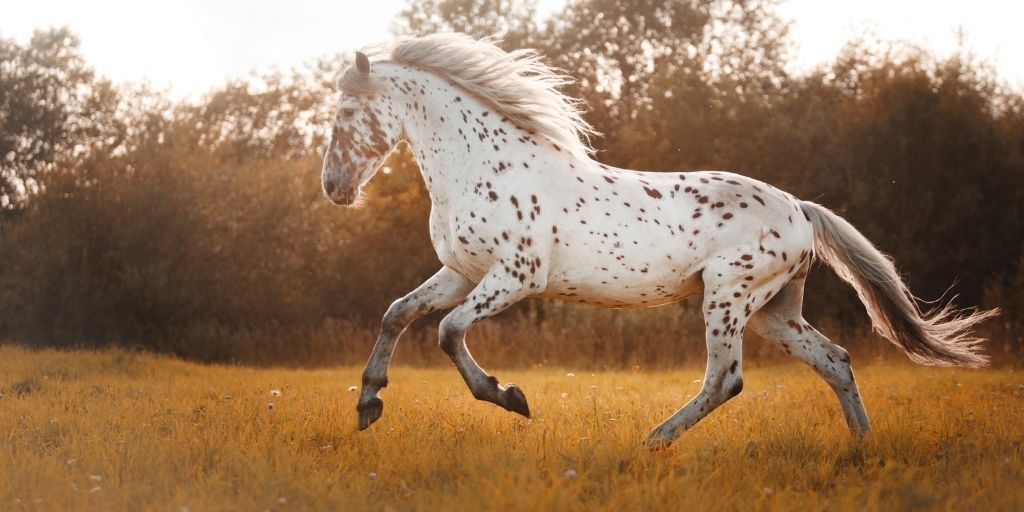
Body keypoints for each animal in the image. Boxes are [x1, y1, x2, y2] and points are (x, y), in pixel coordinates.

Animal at [320, 33, 997, 448]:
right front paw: (368, 405)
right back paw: (861, 446)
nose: (333, 188)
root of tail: (800, 210)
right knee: (835, 360)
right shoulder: (462, 271)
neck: (484, 164)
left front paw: (510, 398)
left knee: (725, 379)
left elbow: (447, 331)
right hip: (775, 311)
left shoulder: (515, 276)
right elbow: (398, 313)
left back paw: (652, 440)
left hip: (728, 297)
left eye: (346, 114)